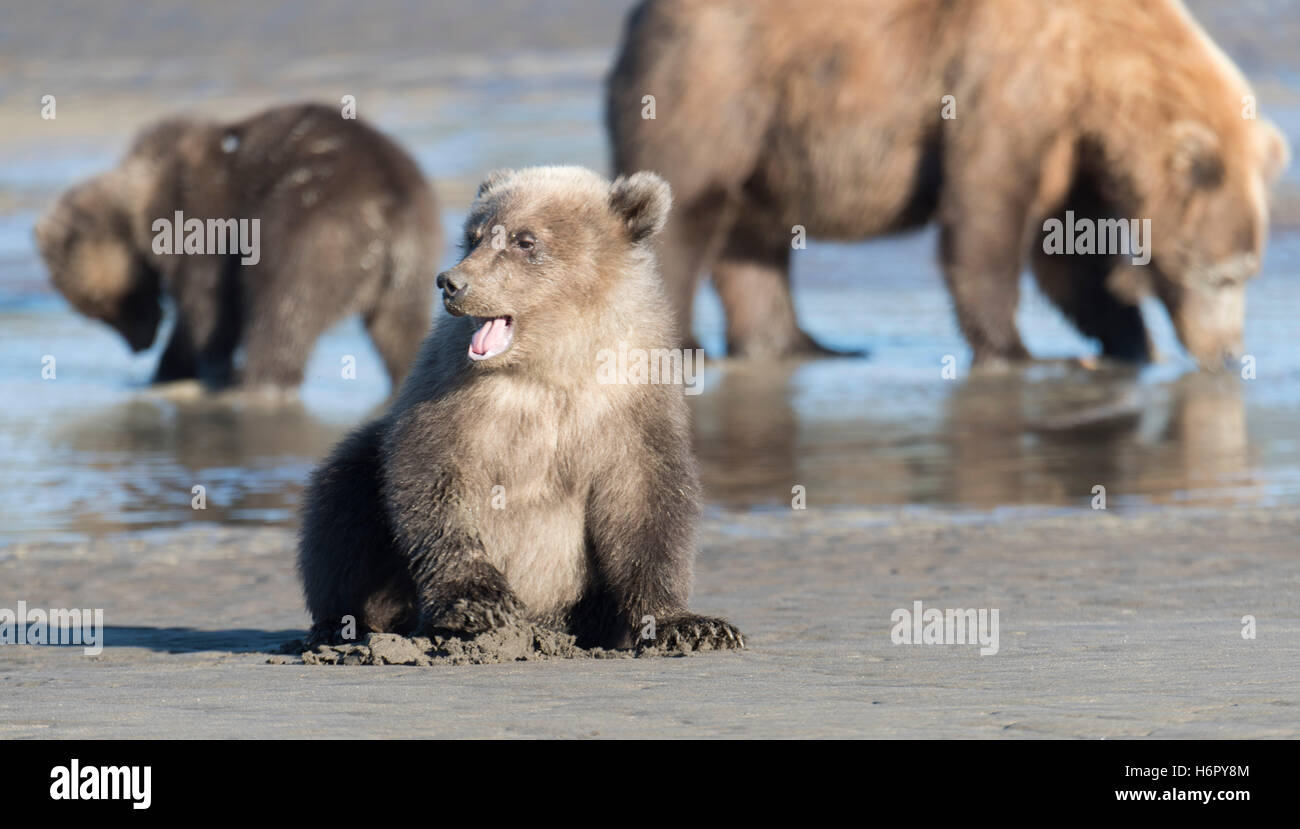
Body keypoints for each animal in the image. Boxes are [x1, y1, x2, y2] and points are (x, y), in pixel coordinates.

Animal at [34, 103, 441, 389]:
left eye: (101, 303)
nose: (140, 344)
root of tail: (392, 201)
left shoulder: (199, 222)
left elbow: (208, 308)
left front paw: (201, 368)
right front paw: (168, 369)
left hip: (316, 228)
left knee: (282, 307)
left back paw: (254, 382)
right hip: (412, 259)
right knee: (399, 327)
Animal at [608, 0, 1289, 369]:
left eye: (1249, 273)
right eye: (1225, 275)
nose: (1230, 353)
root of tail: (640, 18)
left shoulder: (1075, 148)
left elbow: (1069, 255)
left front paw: (1130, 341)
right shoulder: (1010, 81)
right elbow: (987, 217)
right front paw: (1017, 352)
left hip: (772, 139)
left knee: (754, 237)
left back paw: (808, 345)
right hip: (721, 78)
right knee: (691, 202)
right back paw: (684, 343)